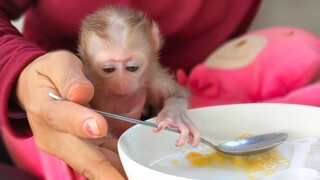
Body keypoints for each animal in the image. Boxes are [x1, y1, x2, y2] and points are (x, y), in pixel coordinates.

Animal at [78, 6, 200, 147]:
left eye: (132, 68)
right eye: (108, 69)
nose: (122, 85)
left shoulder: (152, 78)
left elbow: (178, 94)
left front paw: (173, 115)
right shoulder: (90, 80)